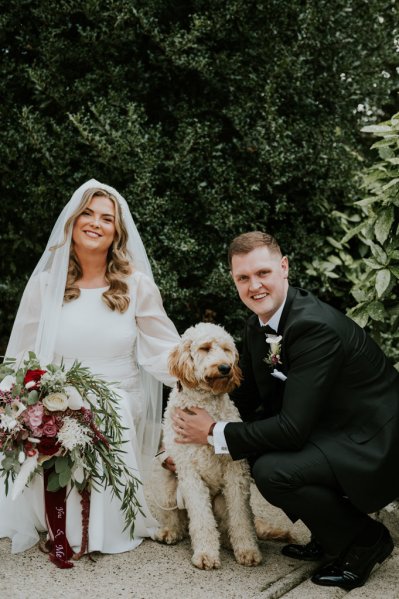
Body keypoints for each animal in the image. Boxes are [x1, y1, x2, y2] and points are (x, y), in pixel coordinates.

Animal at [149, 324, 290, 572]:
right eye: (205, 348)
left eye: (226, 349)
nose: (225, 367)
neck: (205, 403)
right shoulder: (190, 473)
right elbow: (201, 519)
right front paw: (205, 554)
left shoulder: (236, 473)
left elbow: (241, 517)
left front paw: (248, 550)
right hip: (168, 488)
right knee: (181, 520)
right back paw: (170, 532)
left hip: (221, 501)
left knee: (228, 525)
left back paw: (228, 542)